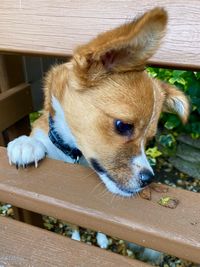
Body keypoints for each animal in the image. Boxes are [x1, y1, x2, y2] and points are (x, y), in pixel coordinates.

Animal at [7, 6, 189, 264]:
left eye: (150, 139)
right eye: (123, 125)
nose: (149, 179)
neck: (74, 154)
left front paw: (101, 236)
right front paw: (26, 144)